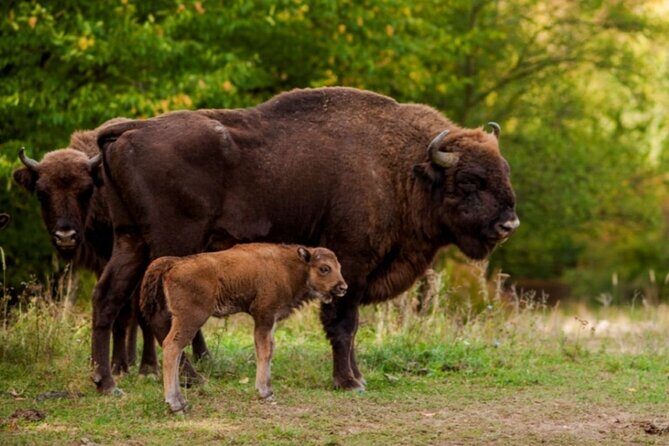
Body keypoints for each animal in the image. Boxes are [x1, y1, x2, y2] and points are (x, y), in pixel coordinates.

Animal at [91, 87, 519, 393]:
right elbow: (343, 323)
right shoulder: (351, 263)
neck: (401, 166)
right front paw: (348, 382)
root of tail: (130, 130)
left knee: (107, 297)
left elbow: (350, 327)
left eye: (504, 170)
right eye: (469, 181)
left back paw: (106, 382)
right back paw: (191, 380)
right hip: (172, 247)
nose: (509, 224)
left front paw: (357, 376)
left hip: (130, 241)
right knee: (162, 316)